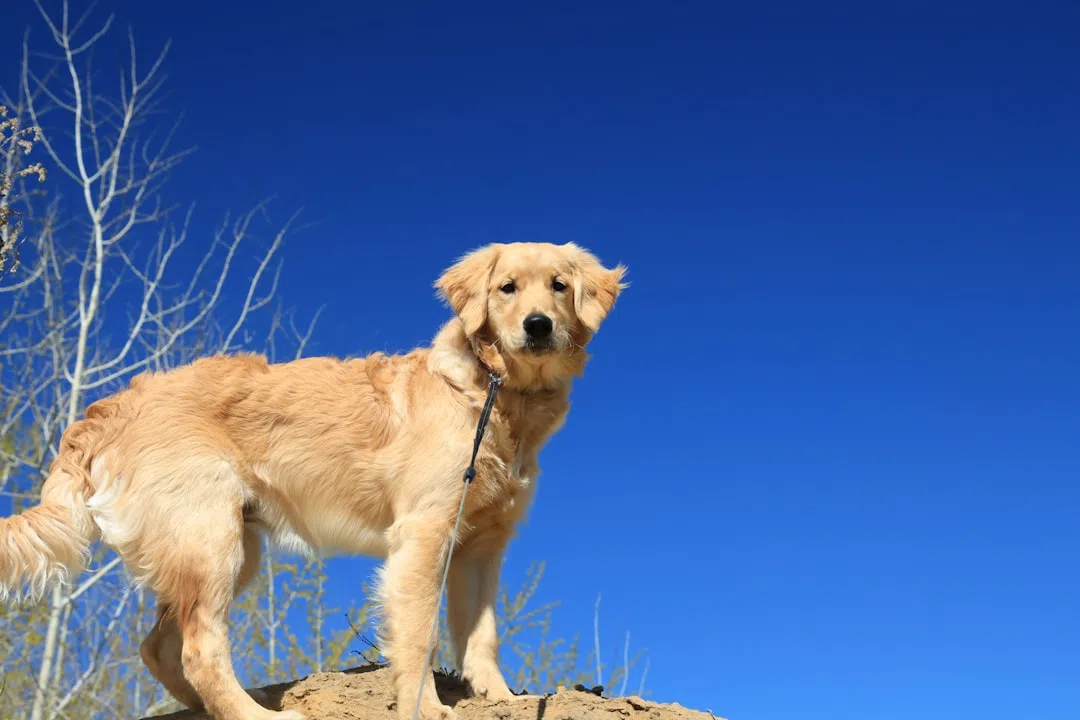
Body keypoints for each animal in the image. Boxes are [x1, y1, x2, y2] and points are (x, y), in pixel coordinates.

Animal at [0, 243, 626, 720]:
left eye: (559, 286)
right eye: (506, 289)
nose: (538, 326)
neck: (493, 393)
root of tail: (109, 408)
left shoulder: (481, 547)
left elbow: (481, 634)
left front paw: (500, 699)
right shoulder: (423, 535)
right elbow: (419, 636)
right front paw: (426, 707)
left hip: (226, 546)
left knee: (159, 647)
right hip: (211, 543)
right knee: (198, 650)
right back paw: (256, 715)